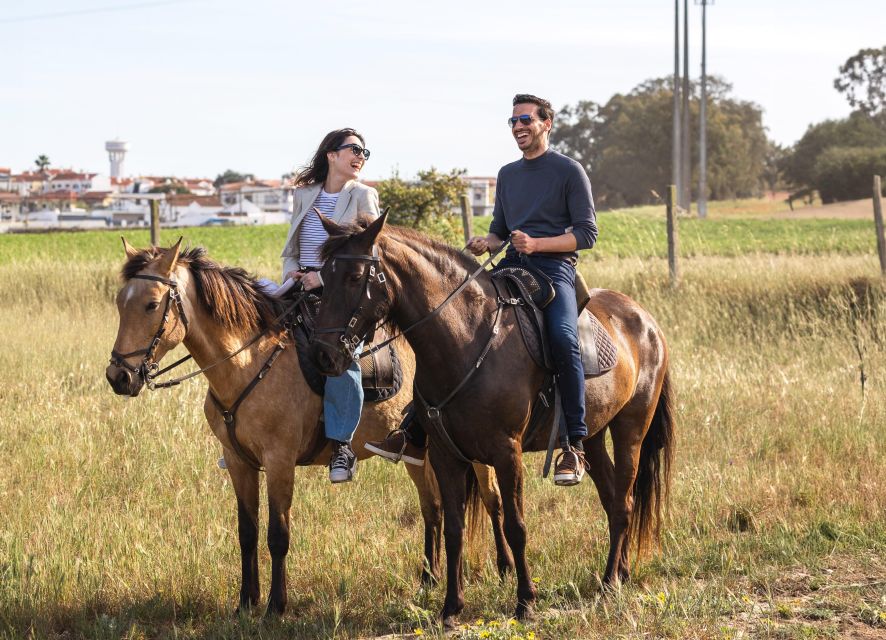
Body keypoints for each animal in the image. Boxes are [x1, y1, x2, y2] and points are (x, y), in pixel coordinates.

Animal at [106, 239, 516, 616]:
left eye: (151, 304)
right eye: (120, 302)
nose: (118, 376)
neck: (248, 362)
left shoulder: (280, 461)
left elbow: (277, 534)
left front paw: (276, 606)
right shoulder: (238, 462)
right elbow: (247, 532)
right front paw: (245, 603)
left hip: (470, 451)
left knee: (492, 500)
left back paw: (505, 569)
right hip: (418, 451)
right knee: (433, 508)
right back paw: (428, 581)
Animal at [308, 215, 676, 624]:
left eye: (356, 276)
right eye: (323, 274)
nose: (321, 356)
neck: (467, 340)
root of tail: (644, 319)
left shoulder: (506, 452)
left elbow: (516, 525)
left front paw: (525, 601)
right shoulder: (445, 455)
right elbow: (454, 528)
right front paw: (451, 607)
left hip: (631, 428)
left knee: (625, 502)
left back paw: (611, 581)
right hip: (592, 436)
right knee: (613, 499)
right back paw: (620, 572)